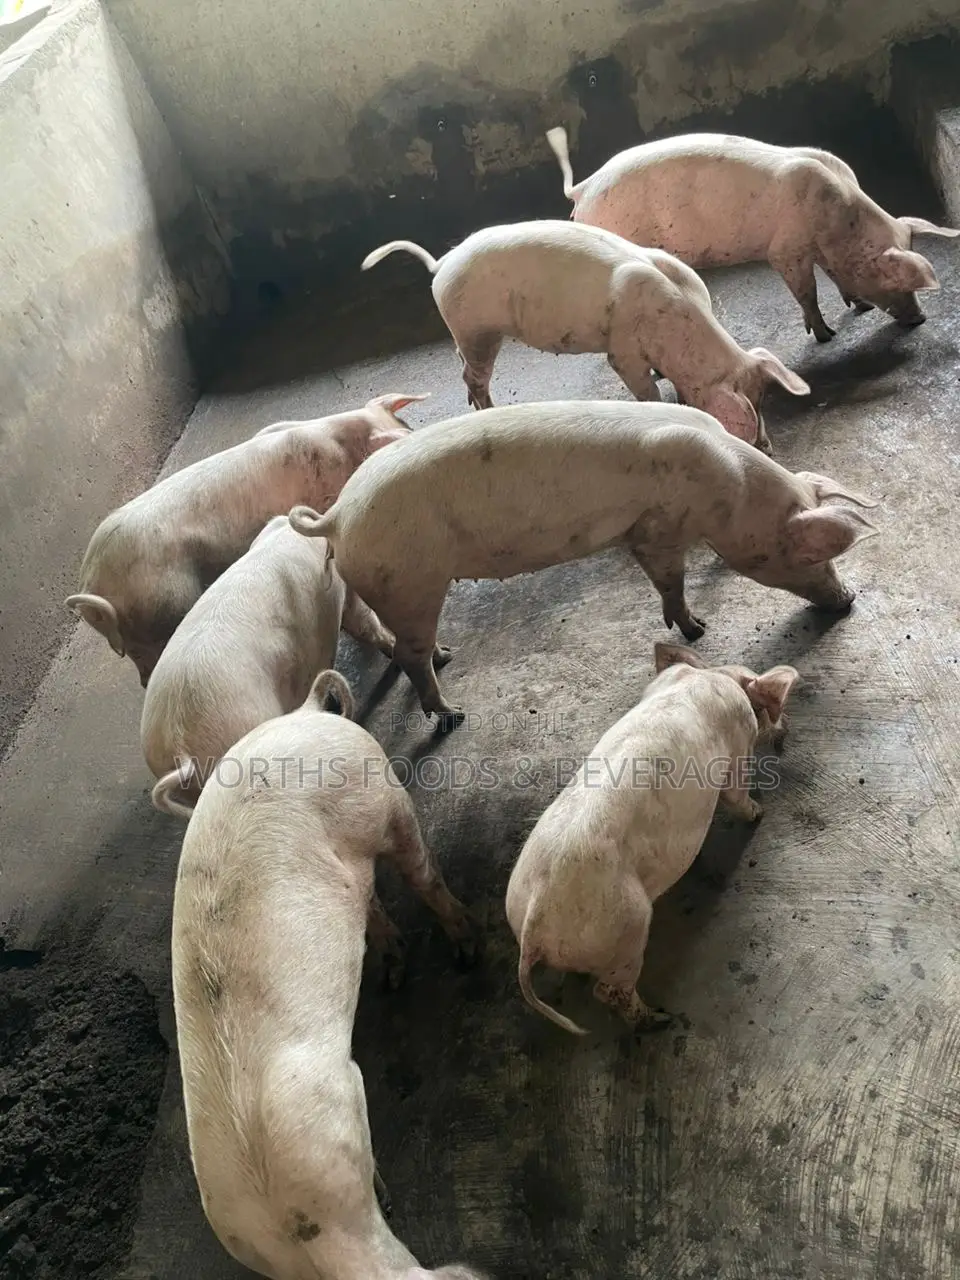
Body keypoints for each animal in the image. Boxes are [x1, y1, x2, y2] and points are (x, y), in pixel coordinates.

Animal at [171, 668, 485, 1280]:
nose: (472, 1269)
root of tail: (307, 711)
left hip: (382, 794)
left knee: (420, 872)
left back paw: (465, 950)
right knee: (376, 897)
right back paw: (398, 969)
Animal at [287, 399, 878, 728]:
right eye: (809, 554)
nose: (848, 601)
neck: (731, 493)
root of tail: (336, 517)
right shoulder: (658, 528)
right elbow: (669, 577)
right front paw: (696, 629)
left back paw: (448, 654)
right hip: (410, 580)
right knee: (411, 657)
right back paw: (453, 714)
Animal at [361, 223, 809, 452]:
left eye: (763, 397)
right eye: (752, 404)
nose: (768, 448)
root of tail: (441, 266)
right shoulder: (623, 350)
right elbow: (641, 386)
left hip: (466, 333)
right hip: (477, 329)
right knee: (474, 376)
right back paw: (486, 409)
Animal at [505, 641, 800, 1035]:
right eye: (768, 707)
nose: (786, 729)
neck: (712, 675)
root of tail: (534, 921)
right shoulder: (738, 747)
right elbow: (735, 795)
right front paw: (759, 813)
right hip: (627, 927)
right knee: (609, 991)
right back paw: (660, 1019)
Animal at [546, 126, 960, 341]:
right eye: (889, 274)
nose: (920, 318)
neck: (841, 220)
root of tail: (582, 189)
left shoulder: (818, 247)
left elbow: (831, 275)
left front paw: (859, 307)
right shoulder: (785, 249)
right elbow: (806, 290)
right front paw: (826, 336)